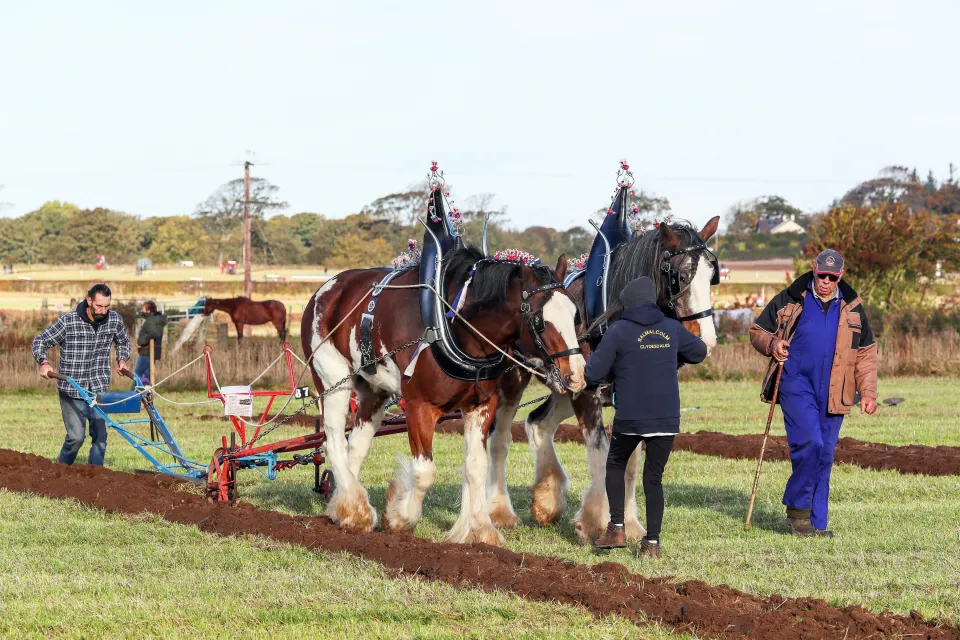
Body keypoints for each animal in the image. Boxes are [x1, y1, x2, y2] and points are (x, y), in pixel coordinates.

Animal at [300, 245, 584, 544]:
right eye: (540, 320)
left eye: (575, 314)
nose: (576, 375)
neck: (454, 326)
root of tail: (330, 286)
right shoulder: (418, 407)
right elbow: (424, 472)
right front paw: (400, 518)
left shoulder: (481, 405)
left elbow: (476, 466)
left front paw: (480, 528)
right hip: (333, 381)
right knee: (333, 442)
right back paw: (358, 510)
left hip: (374, 390)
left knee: (355, 446)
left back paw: (345, 509)